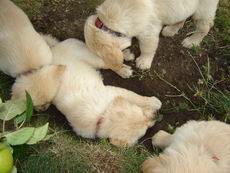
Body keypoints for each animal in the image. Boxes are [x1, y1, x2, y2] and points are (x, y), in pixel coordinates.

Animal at [11, 38, 162, 147]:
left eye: (143, 114)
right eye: (144, 130)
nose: (155, 116)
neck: (102, 115)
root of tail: (54, 48)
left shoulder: (115, 91)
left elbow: (137, 97)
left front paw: (154, 101)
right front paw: (154, 103)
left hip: (91, 58)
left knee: (108, 57)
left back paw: (125, 60)